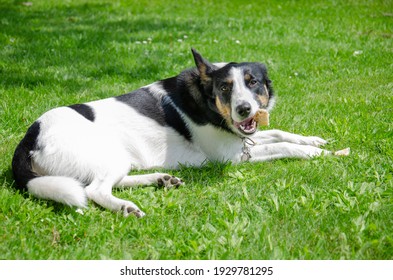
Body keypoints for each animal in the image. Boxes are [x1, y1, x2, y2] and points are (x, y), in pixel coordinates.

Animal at [11, 49, 350, 218]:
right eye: (225, 88)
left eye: (253, 82)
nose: (243, 110)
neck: (207, 100)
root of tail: (30, 137)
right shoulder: (233, 156)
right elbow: (287, 147)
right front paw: (323, 154)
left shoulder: (243, 138)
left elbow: (281, 133)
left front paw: (314, 140)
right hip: (106, 156)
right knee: (95, 190)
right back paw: (126, 208)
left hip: (116, 159)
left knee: (111, 182)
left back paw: (161, 179)